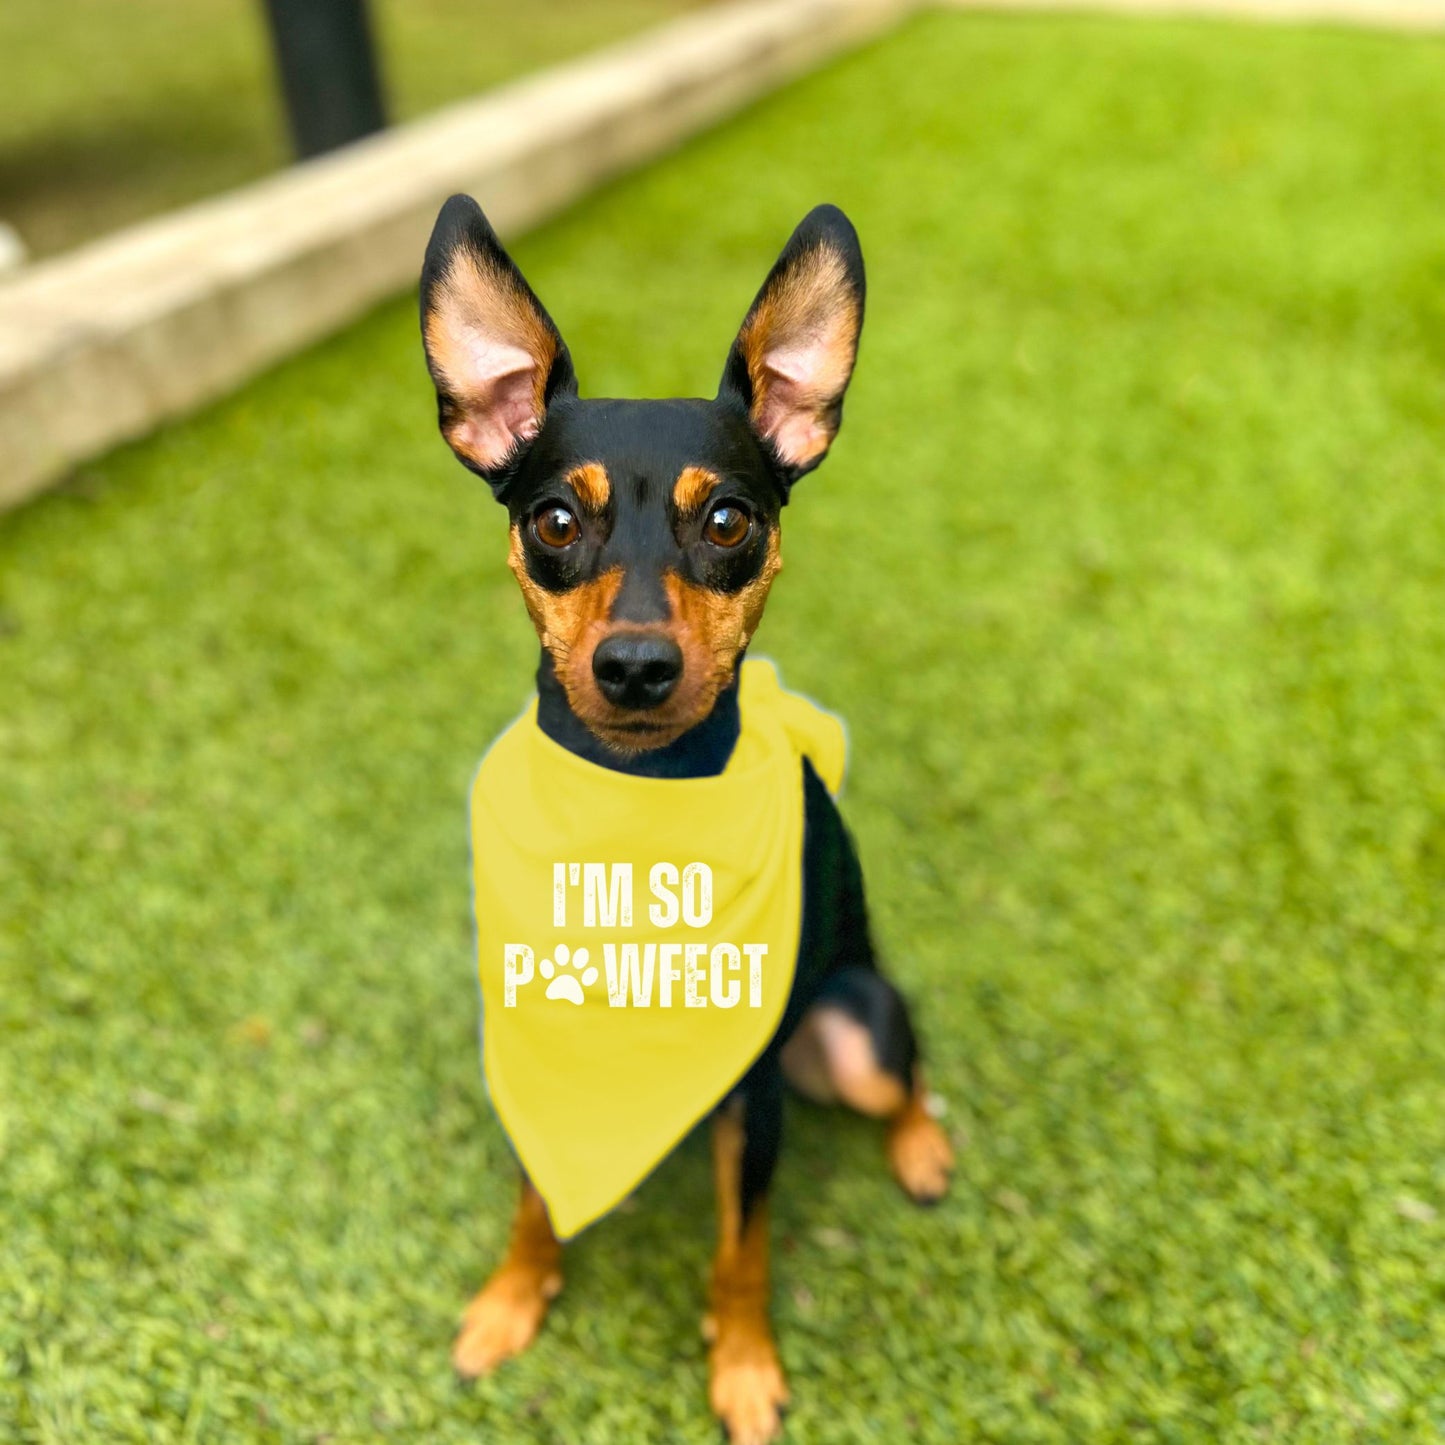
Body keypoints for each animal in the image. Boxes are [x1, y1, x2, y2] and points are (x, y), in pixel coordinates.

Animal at [421, 195, 959, 1445]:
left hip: (855, 1027)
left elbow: (740, 1250)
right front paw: (511, 1299)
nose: (632, 665)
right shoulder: (529, 1041)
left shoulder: (750, 1103)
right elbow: (532, 1196)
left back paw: (922, 1145)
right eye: (551, 518)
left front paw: (744, 1364)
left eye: (726, 519)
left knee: (905, 1070)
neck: (636, 817)